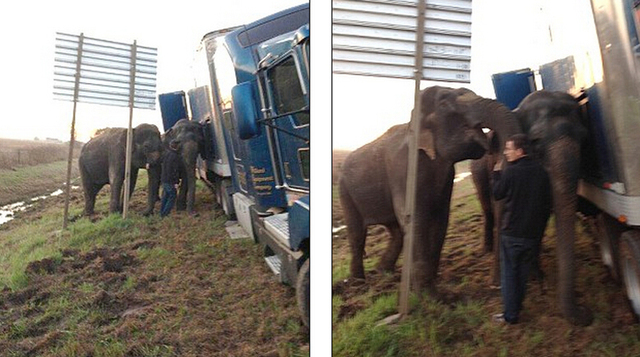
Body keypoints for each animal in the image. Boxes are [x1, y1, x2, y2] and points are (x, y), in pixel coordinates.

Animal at [340, 86, 520, 294]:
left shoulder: (446, 176)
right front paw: (427, 295)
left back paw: (384, 272)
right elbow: (415, 218)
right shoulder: (403, 171)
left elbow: (440, 220)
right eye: (444, 104)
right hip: (345, 191)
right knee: (357, 234)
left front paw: (429, 287)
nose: (495, 286)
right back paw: (359, 283)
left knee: (396, 231)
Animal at [470, 89, 592, 326]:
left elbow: (539, 218)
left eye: (584, 138)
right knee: (488, 210)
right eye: (535, 141)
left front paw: (536, 276)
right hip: (477, 172)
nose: (585, 311)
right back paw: (485, 249)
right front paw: (496, 283)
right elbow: (502, 213)